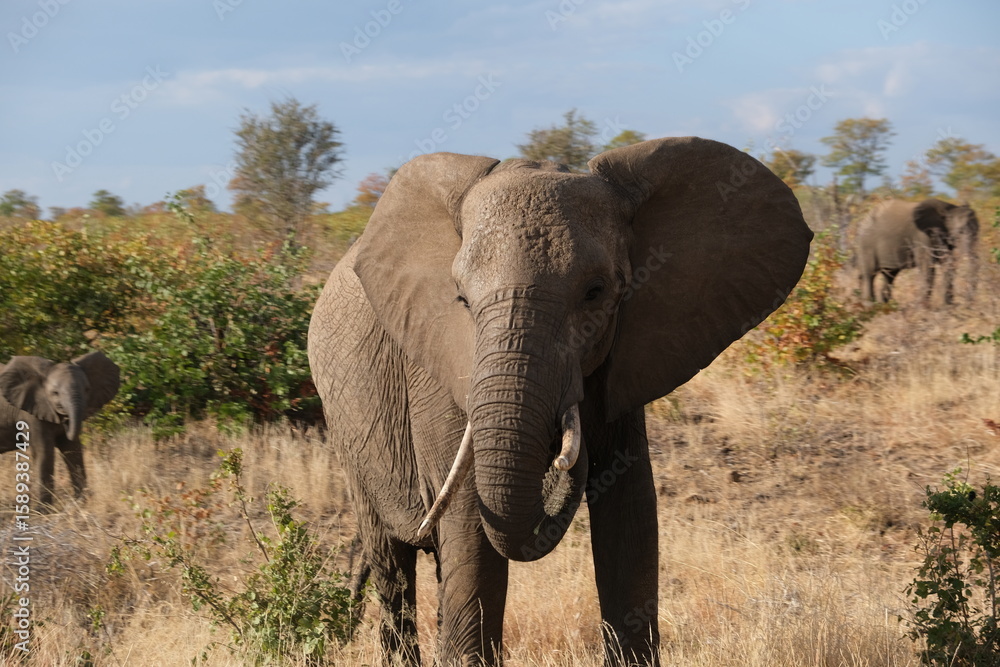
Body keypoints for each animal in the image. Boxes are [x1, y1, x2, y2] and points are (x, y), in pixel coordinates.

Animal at [0, 351, 120, 507]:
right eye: (55, 393)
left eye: (87, 390)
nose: (66, 420)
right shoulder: (30, 413)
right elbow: (44, 452)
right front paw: (42, 510)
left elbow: (73, 450)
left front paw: (80, 504)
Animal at [307, 137, 812, 666]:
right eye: (461, 300)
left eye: (596, 293)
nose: (564, 453)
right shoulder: (436, 367)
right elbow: (469, 516)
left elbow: (630, 512)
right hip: (347, 434)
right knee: (392, 565)